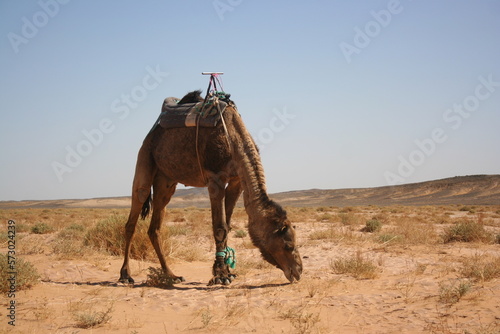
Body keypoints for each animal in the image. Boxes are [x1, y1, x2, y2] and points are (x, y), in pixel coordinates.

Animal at [119, 90, 302, 286]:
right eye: (288, 245)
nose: (298, 271)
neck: (233, 138)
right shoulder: (215, 179)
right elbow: (220, 227)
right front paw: (221, 275)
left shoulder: (236, 181)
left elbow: (227, 225)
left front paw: (227, 272)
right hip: (145, 156)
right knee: (135, 209)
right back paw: (125, 275)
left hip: (165, 180)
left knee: (155, 226)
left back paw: (172, 275)